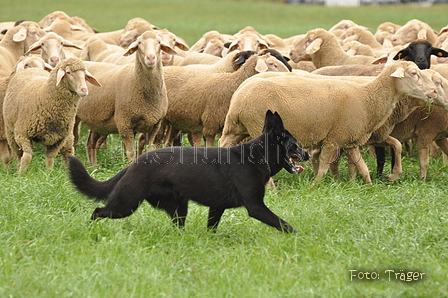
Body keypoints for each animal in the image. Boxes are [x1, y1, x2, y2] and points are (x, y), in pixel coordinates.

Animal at [68, 110, 310, 232]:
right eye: (295, 145)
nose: (307, 155)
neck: (257, 156)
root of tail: (133, 165)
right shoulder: (256, 207)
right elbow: (284, 224)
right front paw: (299, 237)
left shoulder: (217, 208)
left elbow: (211, 228)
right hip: (125, 204)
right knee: (97, 211)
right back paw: (90, 231)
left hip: (178, 208)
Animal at [76, 31, 176, 166]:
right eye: (139, 43)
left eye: (159, 42)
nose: (150, 58)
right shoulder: (125, 123)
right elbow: (131, 153)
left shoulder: (154, 125)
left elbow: (149, 149)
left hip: (97, 119)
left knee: (91, 143)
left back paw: (94, 167)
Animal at [220, 61, 438, 185]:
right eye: (414, 74)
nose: (434, 91)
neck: (368, 98)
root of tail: (239, 96)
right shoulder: (333, 139)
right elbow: (324, 166)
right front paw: (314, 186)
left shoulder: (350, 140)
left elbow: (362, 167)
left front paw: (369, 186)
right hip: (257, 128)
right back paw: (270, 187)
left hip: (234, 128)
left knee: (223, 146)